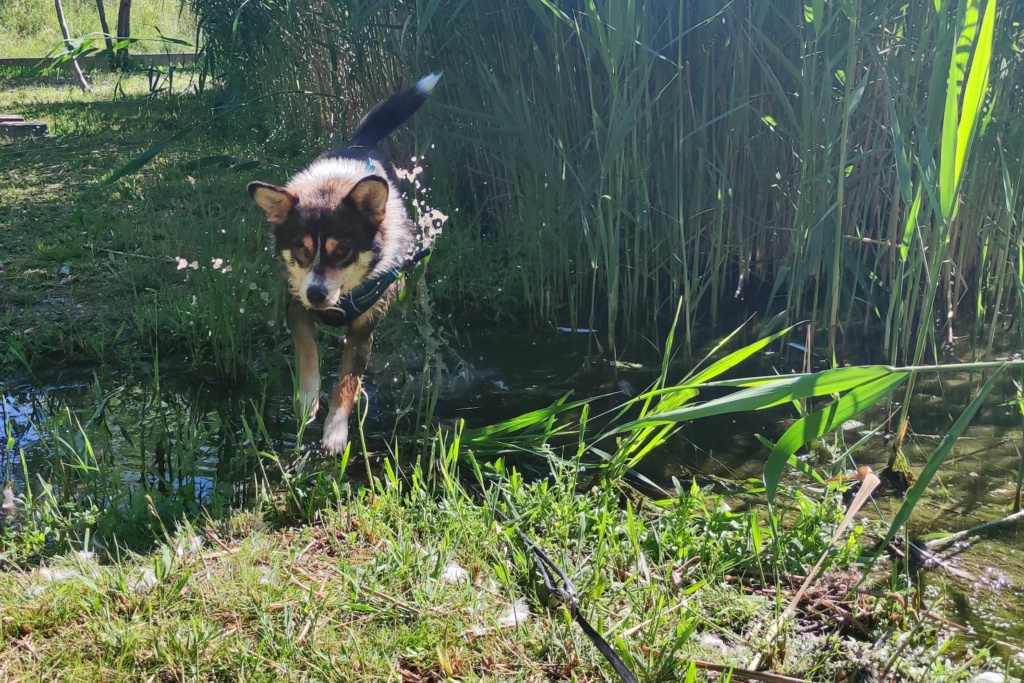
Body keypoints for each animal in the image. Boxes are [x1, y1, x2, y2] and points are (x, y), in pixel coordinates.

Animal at [250, 74, 440, 454]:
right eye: (301, 249)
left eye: (342, 251)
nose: (317, 295)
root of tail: (359, 144)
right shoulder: (296, 303)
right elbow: (307, 352)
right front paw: (307, 402)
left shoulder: (364, 326)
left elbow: (348, 382)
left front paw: (335, 432)